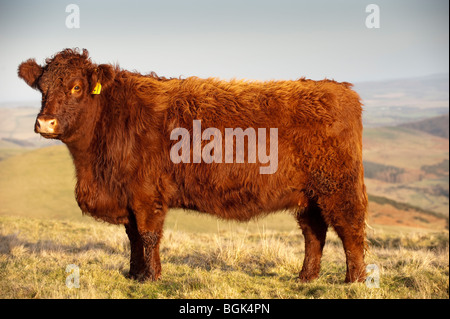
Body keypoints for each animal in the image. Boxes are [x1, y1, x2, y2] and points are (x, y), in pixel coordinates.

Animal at [18, 47, 370, 282]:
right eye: (42, 88)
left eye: (76, 87)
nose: (45, 123)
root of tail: (338, 88)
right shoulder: (127, 197)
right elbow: (132, 237)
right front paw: (133, 274)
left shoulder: (147, 194)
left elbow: (148, 235)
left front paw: (151, 277)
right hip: (308, 196)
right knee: (314, 233)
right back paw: (305, 278)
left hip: (338, 188)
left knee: (350, 229)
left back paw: (353, 281)